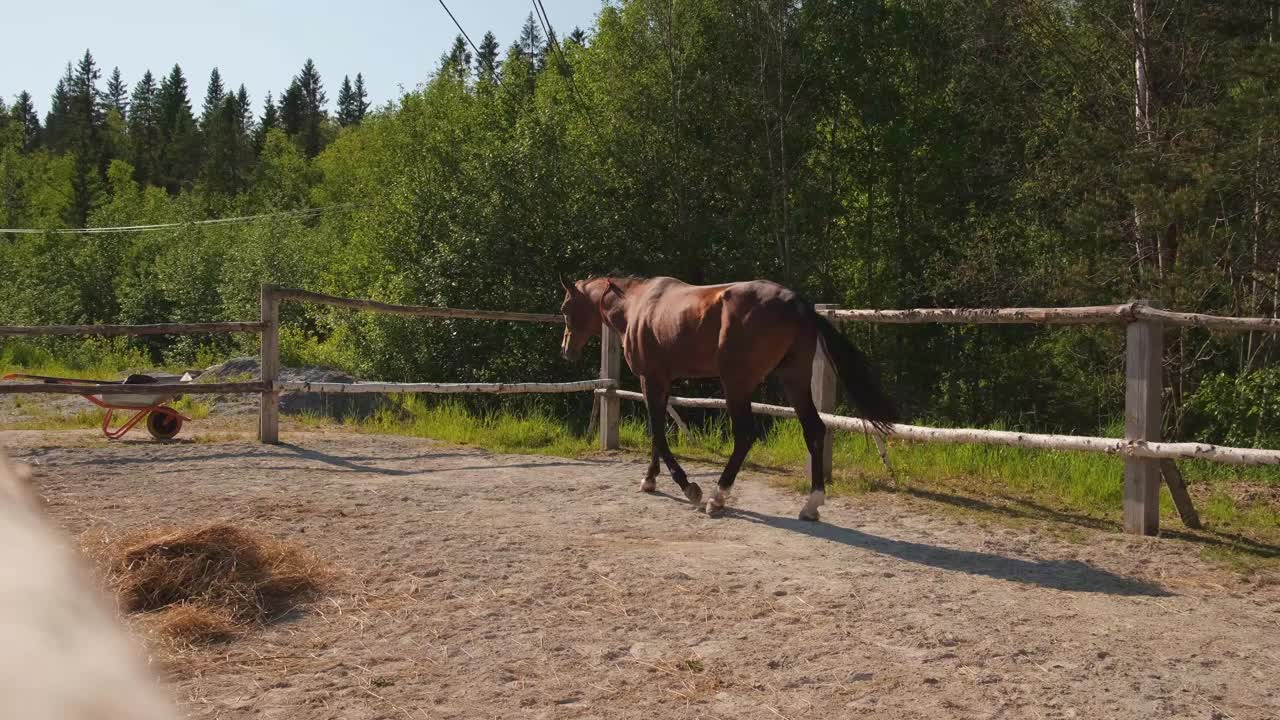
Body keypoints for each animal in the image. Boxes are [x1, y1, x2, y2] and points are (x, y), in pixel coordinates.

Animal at [555, 271, 896, 517]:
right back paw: (811, 505)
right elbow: (657, 432)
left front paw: (689, 487)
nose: (566, 350)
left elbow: (658, 434)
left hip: (737, 384)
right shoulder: (661, 382)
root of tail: (797, 303)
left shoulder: (649, 379)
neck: (637, 305)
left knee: (745, 435)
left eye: (565, 308)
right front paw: (649, 479)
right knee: (814, 429)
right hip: (794, 379)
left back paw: (717, 497)